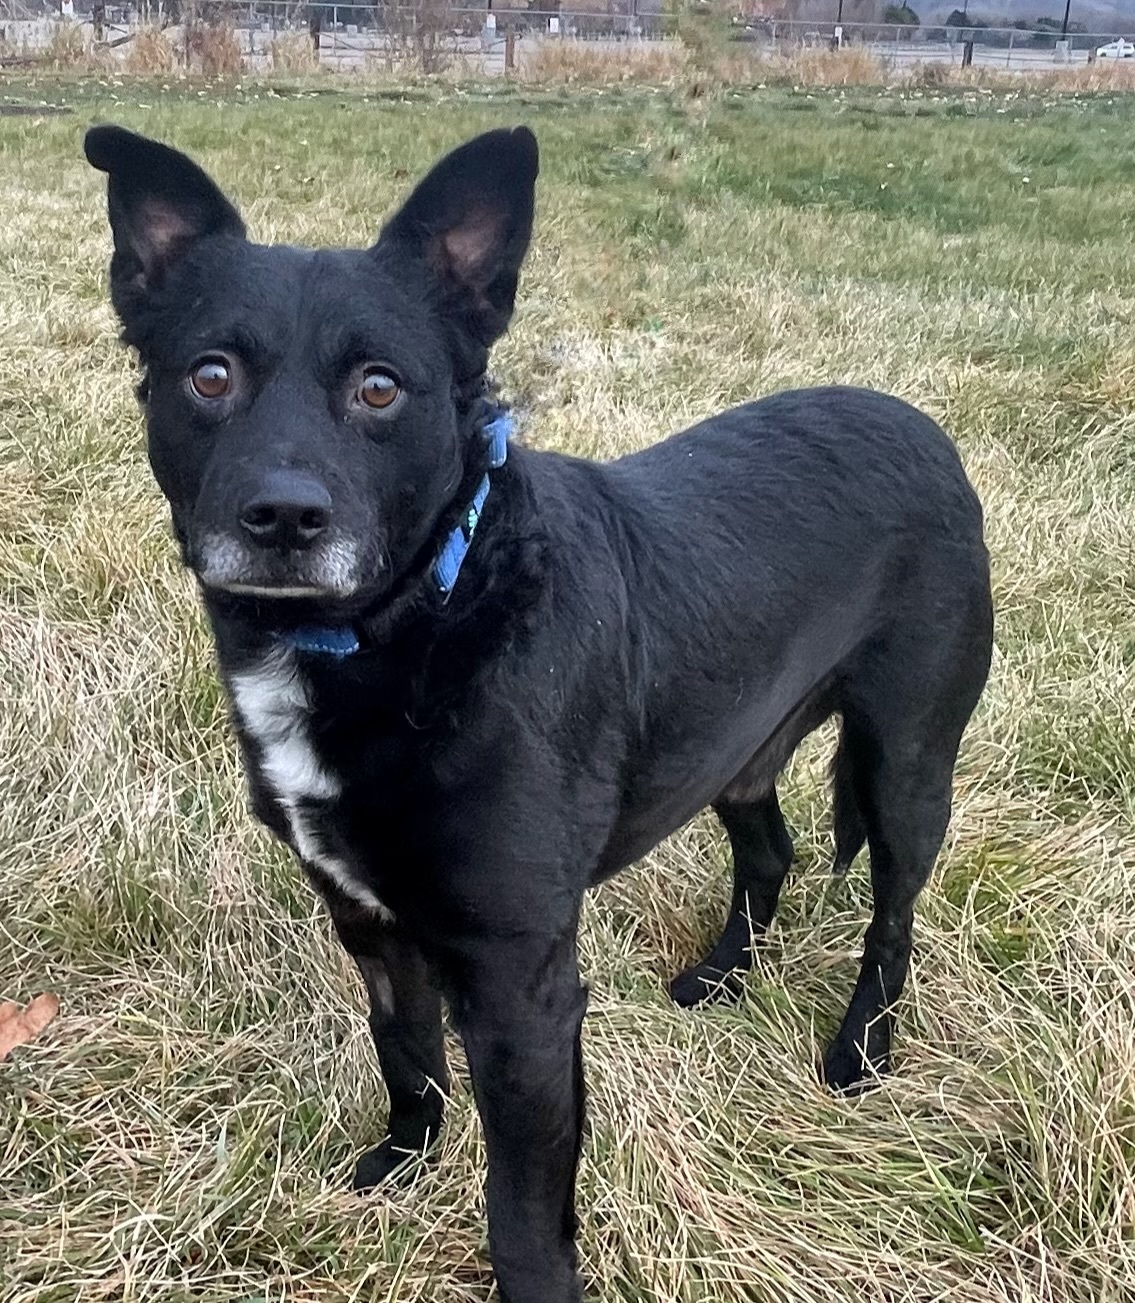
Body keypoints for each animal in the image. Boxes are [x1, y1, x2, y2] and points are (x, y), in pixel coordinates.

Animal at [86, 124, 995, 1303]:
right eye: (210, 375)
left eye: (380, 388)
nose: (283, 517)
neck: (424, 613)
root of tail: (920, 425)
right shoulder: (370, 920)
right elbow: (405, 1052)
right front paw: (402, 1160)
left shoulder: (523, 987)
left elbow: (520, 1199)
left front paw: (529, 1278)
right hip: (729, 746)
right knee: (770, 848)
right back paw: (719, 976)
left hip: (905, 757)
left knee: (892, 917)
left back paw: (860, 1053)